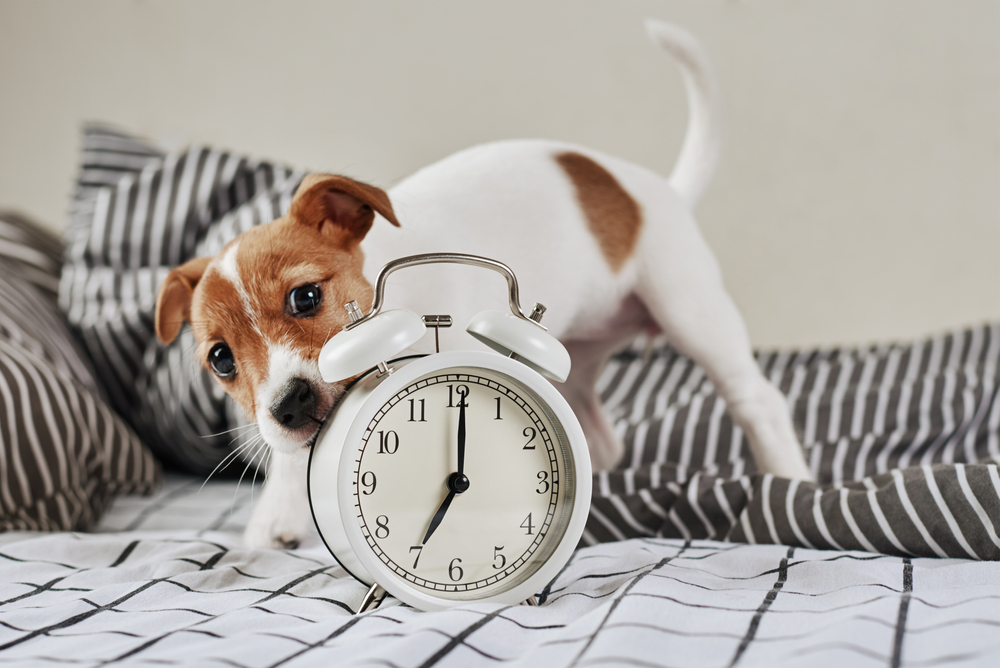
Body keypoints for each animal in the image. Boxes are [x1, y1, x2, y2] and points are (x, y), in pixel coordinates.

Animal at [154, 19, 812, 548]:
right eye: (220, 360)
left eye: (306, 297)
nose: (288, 405)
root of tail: (657, 192)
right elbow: (293, 464)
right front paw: (278, 518)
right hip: (577, 361)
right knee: (602, 439)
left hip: (690, 309)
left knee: (759, 401)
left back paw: (790, 479)